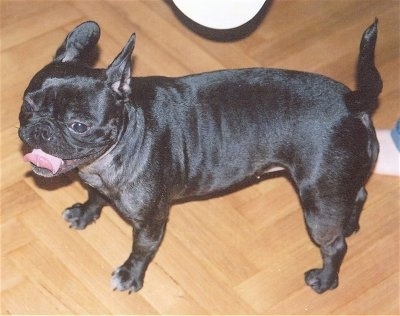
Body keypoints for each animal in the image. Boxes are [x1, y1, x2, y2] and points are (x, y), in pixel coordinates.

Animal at [18, 20, 382, 294]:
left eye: (78, 125)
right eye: (28, 104)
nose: (41, 129)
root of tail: (352, 101)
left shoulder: (151, 224)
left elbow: (140, 251)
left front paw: (130, 276)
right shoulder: (94, 181)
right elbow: (94, 196)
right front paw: (84, 214)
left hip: (318, 202)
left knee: (334, 245)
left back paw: (325, 280)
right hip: (335, 185)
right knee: (359, 193)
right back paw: (350, 224)